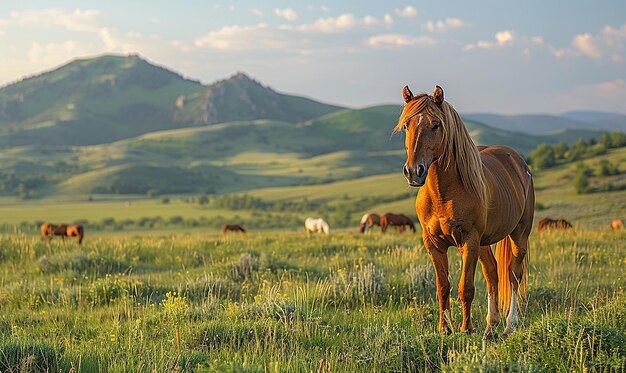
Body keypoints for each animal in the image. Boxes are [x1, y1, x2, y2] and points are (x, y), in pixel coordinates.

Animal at [394, 85, 532, 338]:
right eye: (407, 125)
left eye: (435, 125)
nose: (414, 171)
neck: (443, 193)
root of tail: (517, 162)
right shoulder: (433, 244)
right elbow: (443, 287)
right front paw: (444, 328)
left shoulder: (469, 241)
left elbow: (465, 287)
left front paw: (465, 328)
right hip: (484, 243)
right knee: (493, 273)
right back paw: (490, 326)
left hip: (519, 234)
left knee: (514, 275)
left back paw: (510, 325)